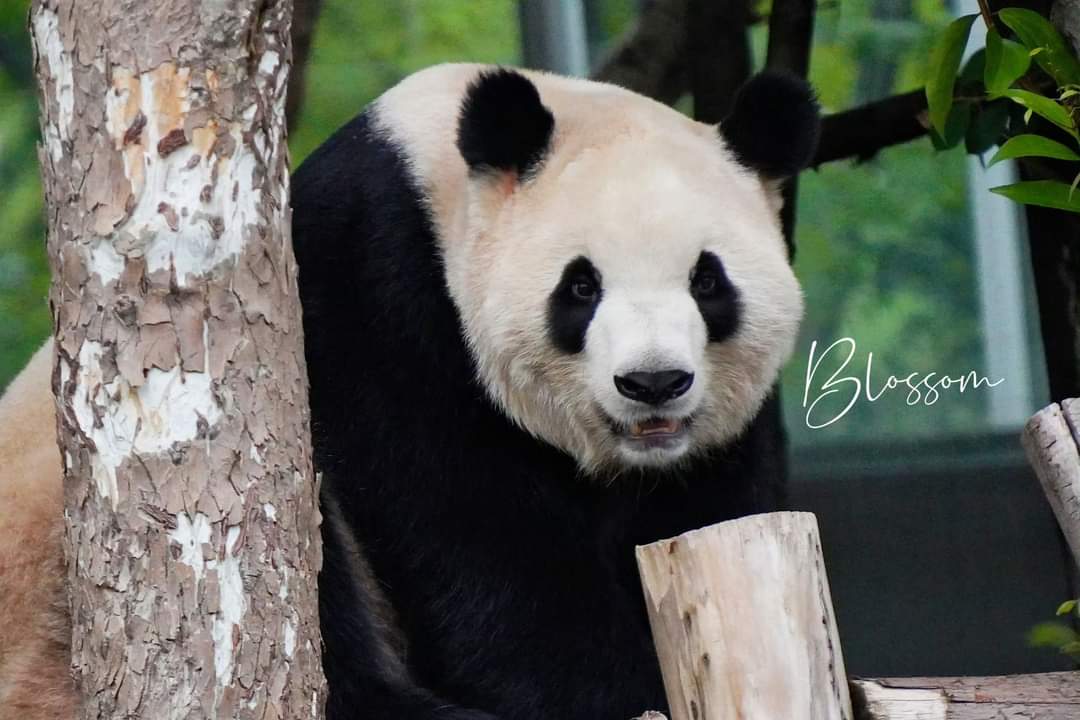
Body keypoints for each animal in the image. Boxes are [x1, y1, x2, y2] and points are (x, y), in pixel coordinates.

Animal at [0, 64, 817, 720]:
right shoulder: (379, 305)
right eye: (581, 287)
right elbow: (478, 543)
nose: (652, 382)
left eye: (708, 281)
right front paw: (619, 693)